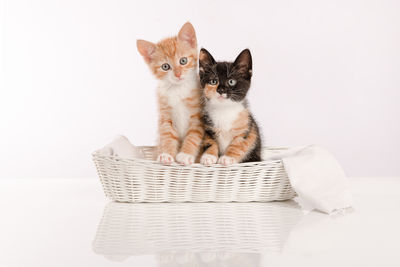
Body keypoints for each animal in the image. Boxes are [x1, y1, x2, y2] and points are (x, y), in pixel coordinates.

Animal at [137, 23, 203, 165]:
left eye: (183, 61)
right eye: (165, 67)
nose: (178, 74)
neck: (178, 90)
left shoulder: (198, 117)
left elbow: (193, 135)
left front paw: (185, 154)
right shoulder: (166, 117)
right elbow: (167, 136)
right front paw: (167, 155)